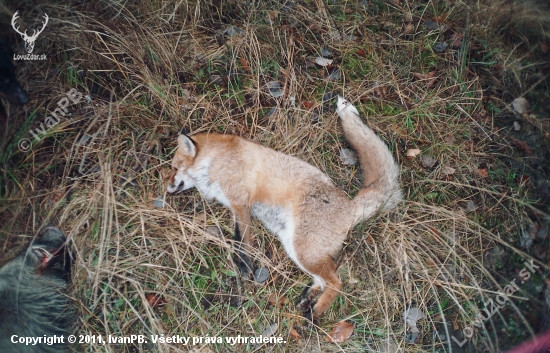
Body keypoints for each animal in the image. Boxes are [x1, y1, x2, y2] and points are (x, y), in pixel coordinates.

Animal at [166, 96, 404, 322]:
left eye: (174, 168)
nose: (167, 189)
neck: (215, 160)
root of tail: (350, 205)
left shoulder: (240, 203)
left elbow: (240, 241)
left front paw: (245, 268)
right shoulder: (235, 205)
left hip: (302, 250)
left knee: (336, 281)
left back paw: (315, 313)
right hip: (295, 248)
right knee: (323, 279)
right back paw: (307, 298)